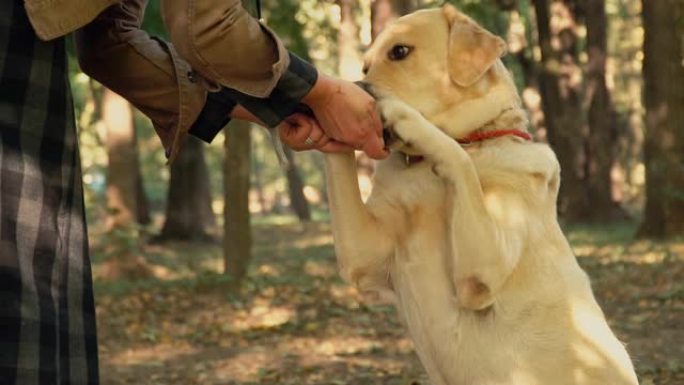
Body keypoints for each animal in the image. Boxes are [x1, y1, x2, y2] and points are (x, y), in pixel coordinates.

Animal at [324, 3, 640, 384]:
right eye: (365, 66)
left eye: (400, 51)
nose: (358, 85)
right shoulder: (361, 254)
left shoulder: (483, 271)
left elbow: (456, 159)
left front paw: (406, 119)